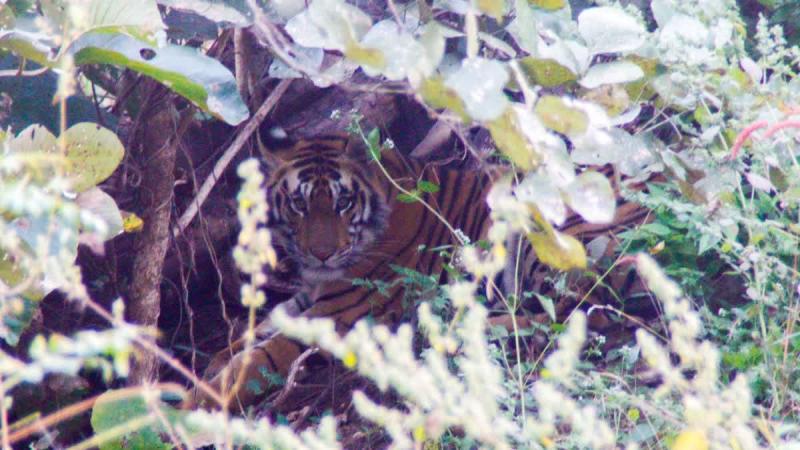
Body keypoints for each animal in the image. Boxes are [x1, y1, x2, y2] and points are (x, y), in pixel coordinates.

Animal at [188, 133, 653, 410]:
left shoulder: (339, 316)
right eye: (299, 204)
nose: (321, 254)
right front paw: (209, 367)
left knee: (581, 313)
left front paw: (195, 402)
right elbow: (242, 339)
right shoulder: (306, 300)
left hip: (557, 236)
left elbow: (257, 359)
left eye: (343, 203)